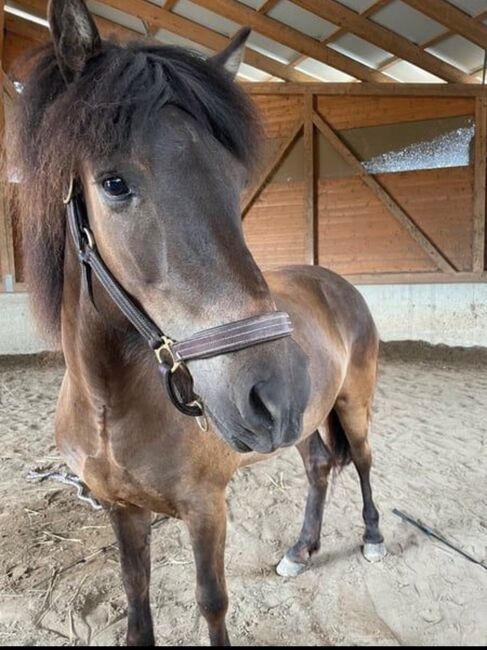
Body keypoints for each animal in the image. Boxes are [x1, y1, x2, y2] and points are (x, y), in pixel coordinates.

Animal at [11, 0, 386, 644]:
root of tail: (336, 284)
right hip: (308, 421)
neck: (111, 406)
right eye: (114, 183)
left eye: (236, 183)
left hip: (351, 403)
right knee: (317, 468)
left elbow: (212, 601)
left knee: (359, 461)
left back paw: (373, 538)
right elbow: (135, 597)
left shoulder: (206, 508)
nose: (275, 391)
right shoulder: (123, 511)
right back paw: (300, 551)